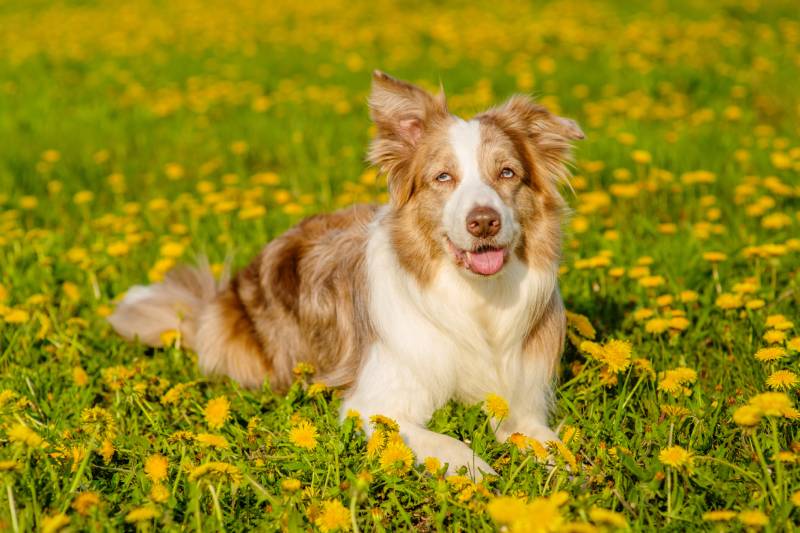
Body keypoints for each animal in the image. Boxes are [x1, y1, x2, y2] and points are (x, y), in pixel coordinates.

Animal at [108, 71, 580, 478]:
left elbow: (541, 437)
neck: (475, 301)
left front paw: (562, 461)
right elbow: (443, 441)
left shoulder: (519, 396)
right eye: (443, 177)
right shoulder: (373, 403)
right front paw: (473, 469)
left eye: (507, 173)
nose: (483, 222)